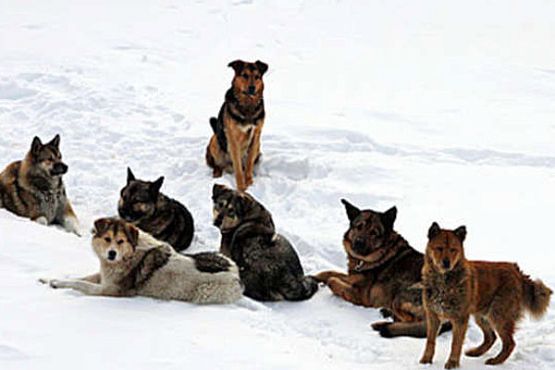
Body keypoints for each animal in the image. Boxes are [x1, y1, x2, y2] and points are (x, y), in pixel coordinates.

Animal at [41, 217, 243, 304]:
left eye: (120, 241)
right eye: (107, 239)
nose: (111, 254)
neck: (128, 254)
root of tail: (237, 274)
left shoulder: (110, 290)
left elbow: (81, 284)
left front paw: (58, 283)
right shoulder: (105, 276)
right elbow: (81, 277)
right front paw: (51, 280)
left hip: (205, 292)